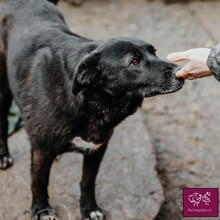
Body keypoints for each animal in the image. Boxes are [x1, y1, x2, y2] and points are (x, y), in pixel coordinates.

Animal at [0, 0, 183, 220]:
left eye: (154, 52)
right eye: (135, 61)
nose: (180, 73)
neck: (89, 103)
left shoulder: (97, 148)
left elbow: (88, 182)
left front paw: (89, 209)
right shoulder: (42, 151)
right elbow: (39, 182)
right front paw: (42, 210)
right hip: (3, 87)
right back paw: (3, 156)